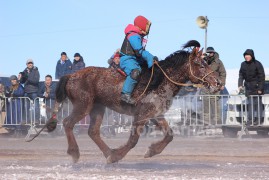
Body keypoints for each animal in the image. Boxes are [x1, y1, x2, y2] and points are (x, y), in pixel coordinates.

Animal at [29, 40, 222, 164]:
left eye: (207, 62)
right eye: (201, 64)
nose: (218, 83)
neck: (159, 80)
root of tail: (70, 76)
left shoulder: (155, 114)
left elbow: (170, 134)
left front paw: (151, 151)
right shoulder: (141, 115)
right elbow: (133, 140)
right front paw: (117, 156)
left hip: (98, 108)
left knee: (93, 131)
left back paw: (107, 151)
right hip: (83, 106)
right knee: (68, 123)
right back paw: (76, 153)